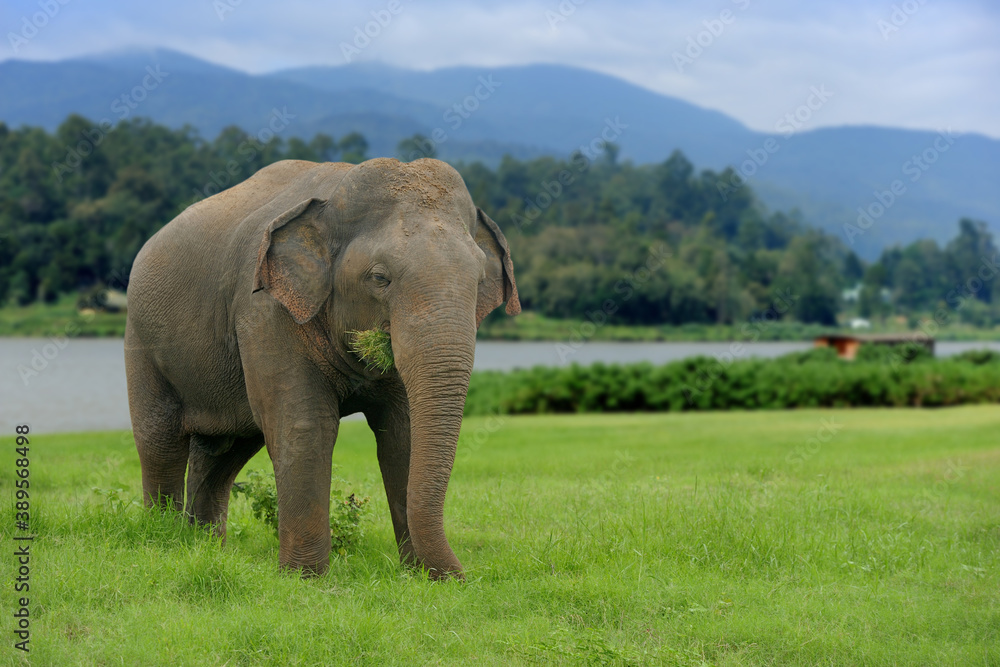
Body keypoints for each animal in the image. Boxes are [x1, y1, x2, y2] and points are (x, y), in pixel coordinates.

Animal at [124, 157, 519, 580]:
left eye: (479, 280)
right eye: (379, 278)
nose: (463, 579)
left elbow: (403, 431)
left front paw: (418, 576)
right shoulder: (264, 311)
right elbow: (305, 425)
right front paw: (305, 578)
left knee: (224, 451)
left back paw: (204, 546)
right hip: (141, 340)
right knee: (160, 442)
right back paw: (164, 539)